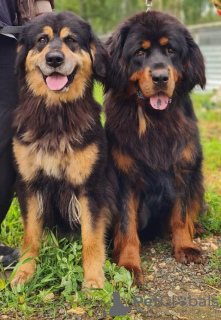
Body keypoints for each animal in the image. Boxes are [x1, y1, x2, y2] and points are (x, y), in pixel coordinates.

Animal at [11, 11, 109, 288]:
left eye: (71, 40)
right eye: (42, 40)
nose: (54, 59)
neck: (55, 114)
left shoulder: (90, 186)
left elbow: (91, 237)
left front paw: (94, 280)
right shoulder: (29, 183)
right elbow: (30, 235)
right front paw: (24, 272)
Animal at [104, 11, 206, 288]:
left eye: (171, 50)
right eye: (140, 52)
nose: (161, 77)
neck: (156, 120)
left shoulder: (183, 169)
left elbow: (181, 214)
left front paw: (185, 246)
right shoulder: (124, 179)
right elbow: (127, 226)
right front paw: (129, 264)